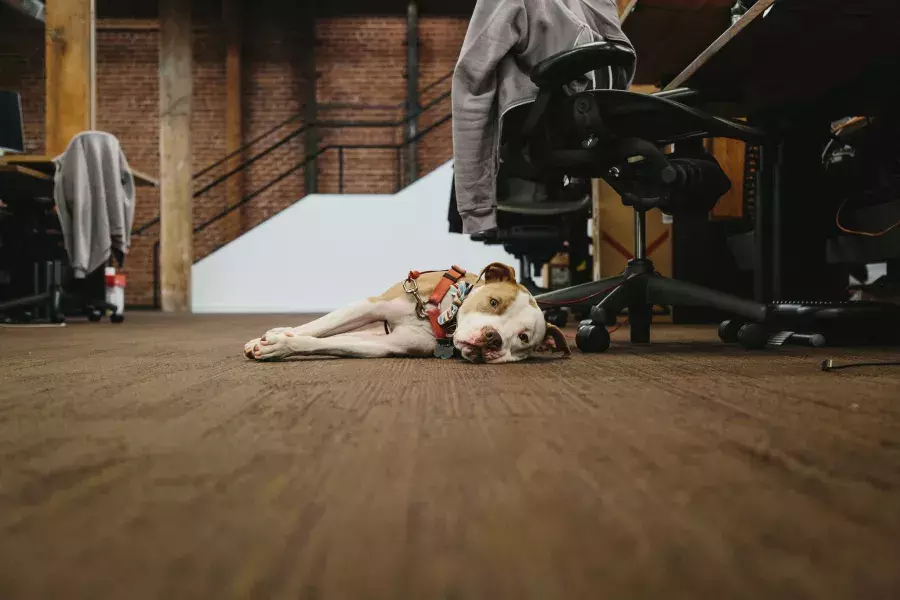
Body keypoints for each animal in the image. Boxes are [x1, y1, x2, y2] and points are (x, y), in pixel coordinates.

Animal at [244, 262, 568, 364]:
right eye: (493, 303)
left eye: (523, 338)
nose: (493, 338)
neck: (443, 318)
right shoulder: (371, 305)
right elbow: (318, 327)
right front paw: (275, 341)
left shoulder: (387, 345)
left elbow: (326, 341)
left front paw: (280, 345)